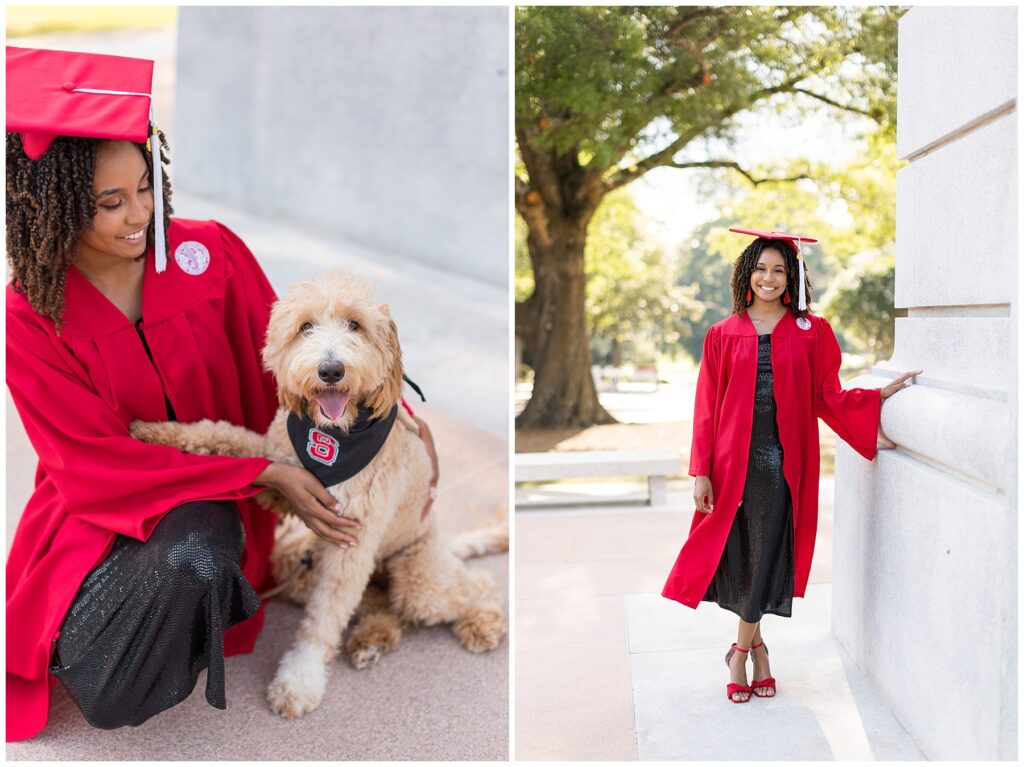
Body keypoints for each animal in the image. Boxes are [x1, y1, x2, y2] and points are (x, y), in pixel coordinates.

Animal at [132, 268, 507, 716]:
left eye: (355, 325)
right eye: (305, 327)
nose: (330, 370)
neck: (334, 438)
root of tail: (444, 545)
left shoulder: (351, 542)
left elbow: (325, 615)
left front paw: (300, 677)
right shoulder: (277, 462)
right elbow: (222, 435)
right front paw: (155, 432)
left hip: (420, 580)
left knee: (475, 586)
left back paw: (482, 622)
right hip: (298, 563)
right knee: (385, 607)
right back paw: (372, 639)